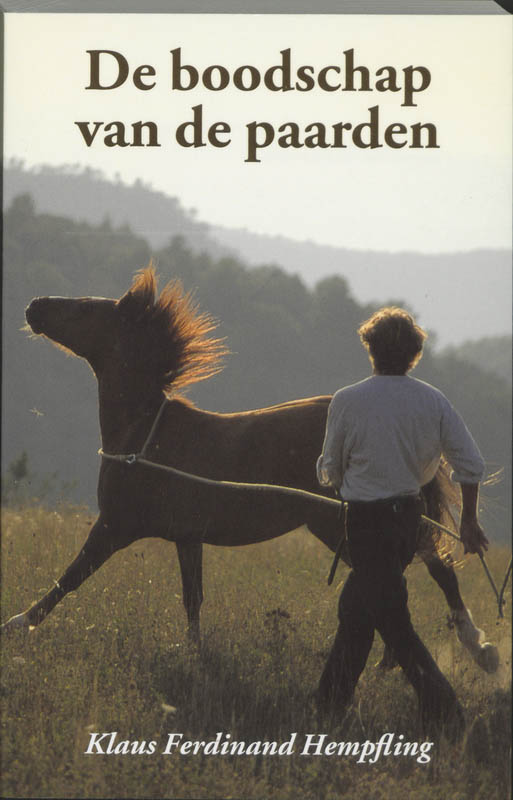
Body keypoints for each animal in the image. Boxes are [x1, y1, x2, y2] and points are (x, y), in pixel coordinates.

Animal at [2, 266, 498, 673]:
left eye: (86, 308)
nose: (33, 306)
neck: (143, 437)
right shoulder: (187, 538)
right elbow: (192, 601)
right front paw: (194, 655)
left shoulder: (114, 526)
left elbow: (69, 578)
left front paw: (15, 624)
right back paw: (401, 659)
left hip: (338, 526)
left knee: (432, 568)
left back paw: (475, 648)